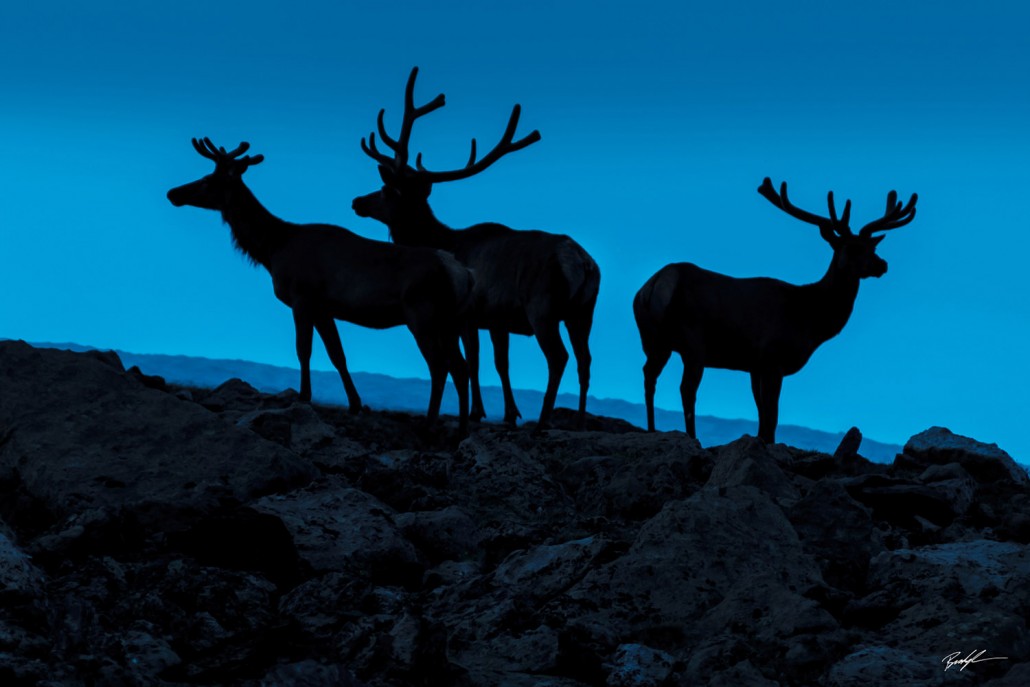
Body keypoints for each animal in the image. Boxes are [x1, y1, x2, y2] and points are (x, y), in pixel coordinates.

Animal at [167, 138, 473, 430]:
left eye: (208, 179)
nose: (173, 193)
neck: (272, 249)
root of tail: (462, 273)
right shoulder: (324, 308)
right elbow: (338, 354)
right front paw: (355, 404)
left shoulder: (302, 296)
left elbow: (303, 349)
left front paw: (304, 396)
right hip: (450, 321)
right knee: (461, 367)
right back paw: (461, 428)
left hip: (422, 314)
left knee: (440, 365)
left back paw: (430, 424)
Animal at [352, 65, 601, 430]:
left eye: (386, 190)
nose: (357, 201)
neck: (441, 240)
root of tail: (581, 262)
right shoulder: (496, 319)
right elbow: (499, 363)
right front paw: (509, 414)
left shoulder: (467, 314)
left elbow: (471, 362)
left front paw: (474, 413)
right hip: (584, 311)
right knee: (586, 359)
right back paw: (580, 419)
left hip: (542, 306)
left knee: (559, 357)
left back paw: (543, 421)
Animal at [634, 177, 918, 442]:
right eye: (853, 248)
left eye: (873, 246)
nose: (882, 264)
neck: (811, 321)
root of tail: (658, 282)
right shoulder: (774, 356)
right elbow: (772, 415)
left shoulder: (755, 364)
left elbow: (761, 414)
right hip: (693, 340)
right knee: (687, 388)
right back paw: (692, 437)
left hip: (654, 340)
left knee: (649, 375)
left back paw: (651, 429)